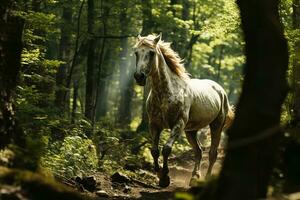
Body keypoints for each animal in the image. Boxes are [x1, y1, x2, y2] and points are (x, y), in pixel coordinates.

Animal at [134, 33, 234, 188]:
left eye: (151, 53)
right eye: (136, 53)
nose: (139, 77)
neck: (165, 93)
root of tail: (220, 90)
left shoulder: (178, 124)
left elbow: (166, 149)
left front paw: (165, 177)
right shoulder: (154, 124)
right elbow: (155, 151)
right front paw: (159, 175)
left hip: (216, 126)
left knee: (212, 153)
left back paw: (206, 178)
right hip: (191, 131)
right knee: (199, 151)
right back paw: (194, 178)